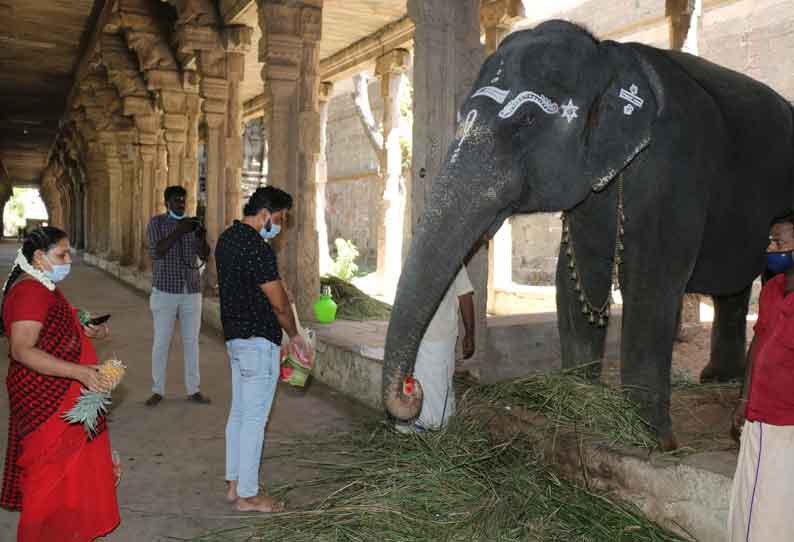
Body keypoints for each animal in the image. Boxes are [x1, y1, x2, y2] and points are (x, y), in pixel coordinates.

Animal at [382, 19, 792, 448]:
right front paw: (579, 404)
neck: (610, 58)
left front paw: (653, 440)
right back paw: (715, 378)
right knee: (735, 290)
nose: (411, 391)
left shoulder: (673, 173)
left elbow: (650, 282)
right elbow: (573, 277)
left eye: (526, 121)